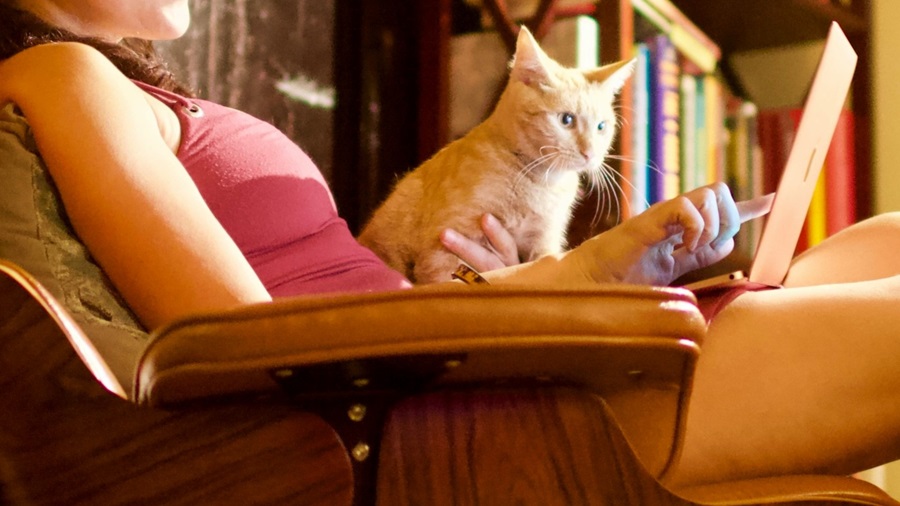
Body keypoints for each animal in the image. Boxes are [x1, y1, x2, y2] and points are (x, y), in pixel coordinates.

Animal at [358, 26, 632, 284]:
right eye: (566, 120)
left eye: (601, 127)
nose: (590, 153)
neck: (538, 181)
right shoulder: (444, 247)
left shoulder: (544, 242)